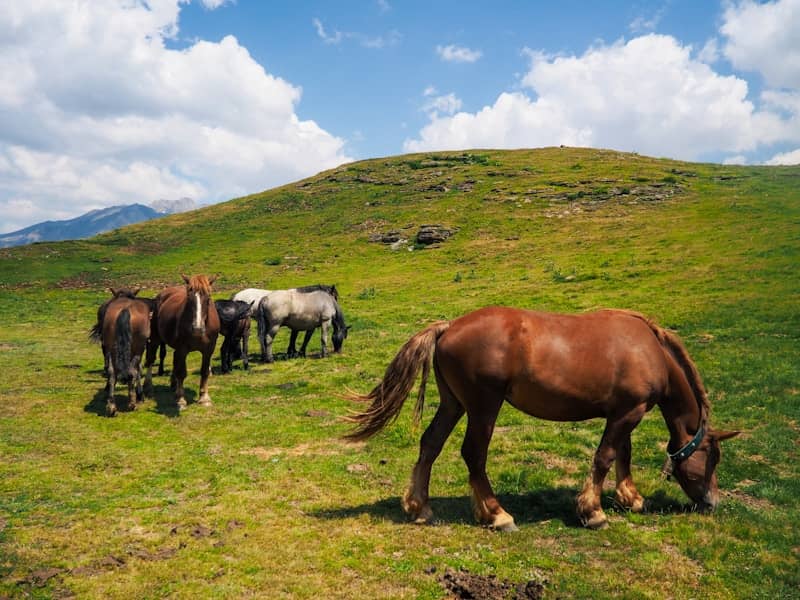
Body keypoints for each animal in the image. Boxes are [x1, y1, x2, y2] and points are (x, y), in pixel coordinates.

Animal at [146, 274, 220, 409]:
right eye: (189, 299)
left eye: (208, 298)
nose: (197, 328)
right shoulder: (182, 349)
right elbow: (181, 373)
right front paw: (181, 399)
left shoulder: (208, 350)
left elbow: (205, 371)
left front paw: (204, 398)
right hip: (155, 339)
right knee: (150, 360)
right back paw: (148, 388)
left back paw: (173, 384)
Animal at [345, 307, 740, 530]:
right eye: (712, 457)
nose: (712, 503)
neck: (649, 349)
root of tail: (449, 326)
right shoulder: (627, 413)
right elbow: (605, 457)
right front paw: (593, 511)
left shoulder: (627, 412)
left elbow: (622, 455)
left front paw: (630, 497)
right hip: (483, 408)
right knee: (473, 455)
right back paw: (496, 514)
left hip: (453, 404)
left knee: (430, 444)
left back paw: (420, 507)